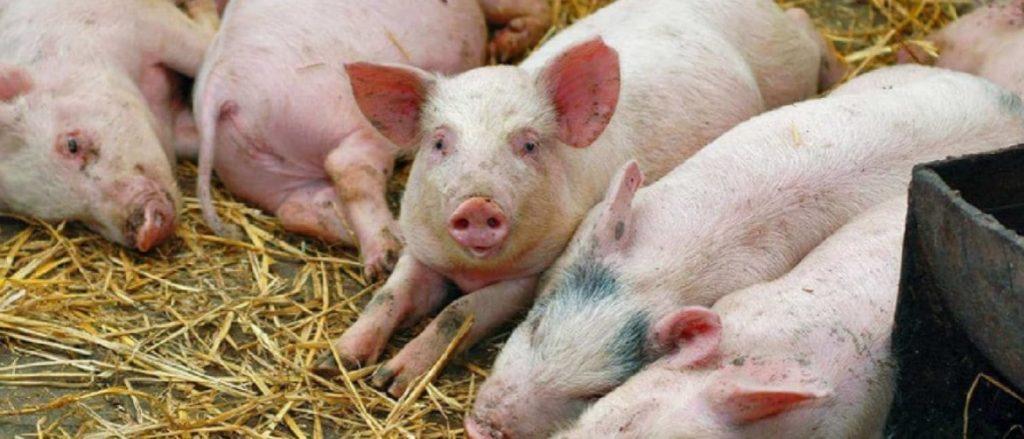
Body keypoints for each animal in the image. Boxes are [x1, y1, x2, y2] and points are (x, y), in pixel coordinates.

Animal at [193, 0, 550, 280]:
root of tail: (220, 85)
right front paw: (503, 46)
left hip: (263, 173)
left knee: (296, 209)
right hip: (350, 122)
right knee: (347, 168)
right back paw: (390, 249)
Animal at [316, 0, 840, 396]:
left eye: (528, 144)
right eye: (440, 142)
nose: (478, 205)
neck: (472, 268)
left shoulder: (531, 277)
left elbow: (458, 313)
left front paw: (391, 382)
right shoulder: (422, 248)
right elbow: (389, 295)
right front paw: (336, 360)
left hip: (787, 60)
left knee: (804, 23)